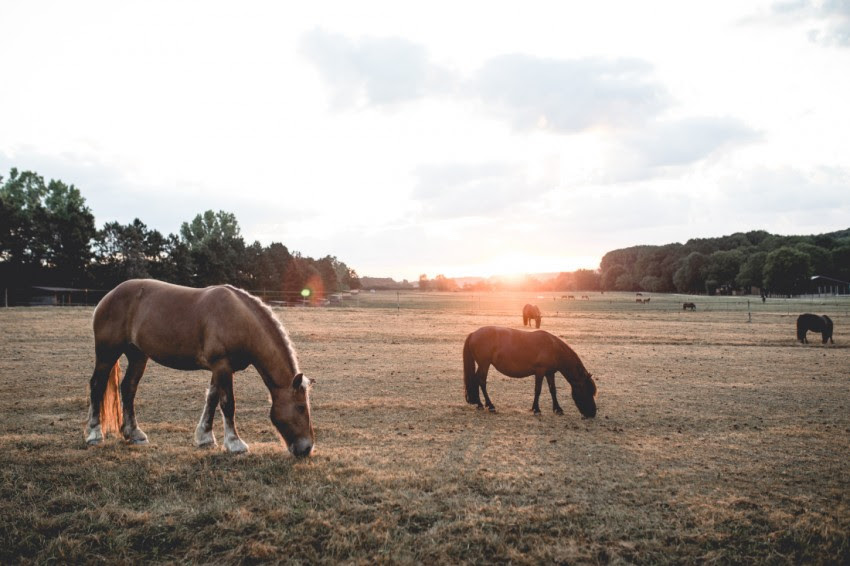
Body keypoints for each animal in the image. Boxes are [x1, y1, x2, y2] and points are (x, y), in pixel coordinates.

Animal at [86, 282, 314, 460]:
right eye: (301, 407)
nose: (307, 448)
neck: (240, 320)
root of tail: (109, 295)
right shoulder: (222, 365)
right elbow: (227, 403)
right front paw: (234, 443)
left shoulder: (219, 369)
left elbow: (212, 398)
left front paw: (205, 437)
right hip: (107, 353)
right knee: (97, 386)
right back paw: (94, 433)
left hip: (137, 355)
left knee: (128, 388)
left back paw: (134, 433)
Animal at [464, 326, 596, 420]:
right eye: (587, 391)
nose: (593, 413)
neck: (553, 348)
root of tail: (473, 334)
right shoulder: (540, 371)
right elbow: (538, 390)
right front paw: (536, 409)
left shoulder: (550, 373)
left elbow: (553, 390)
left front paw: (558, 409)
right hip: (484, 364)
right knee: (481, 382)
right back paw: (489, 405)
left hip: (482, 365)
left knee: (476, 380)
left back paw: (479, 403)